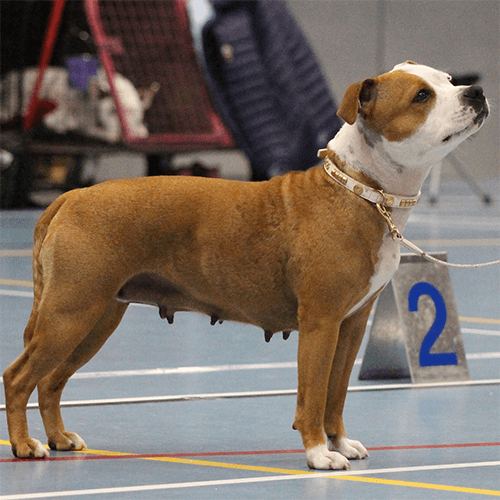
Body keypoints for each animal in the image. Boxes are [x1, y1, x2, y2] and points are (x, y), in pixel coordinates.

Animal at [2, 61, 488, 468]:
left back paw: (60, 438)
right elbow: (313, 395)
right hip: (71, 312)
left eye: (449, 80)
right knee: (20, 376)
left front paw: (339, 442)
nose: (477, 91)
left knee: (51, 380)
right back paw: (26, 446)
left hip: (96, 318)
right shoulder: (320, 323)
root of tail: (69, 198)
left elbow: (336, 394)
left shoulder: (350, 325)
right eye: (422, 96)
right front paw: (318, 454)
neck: (361, 189)